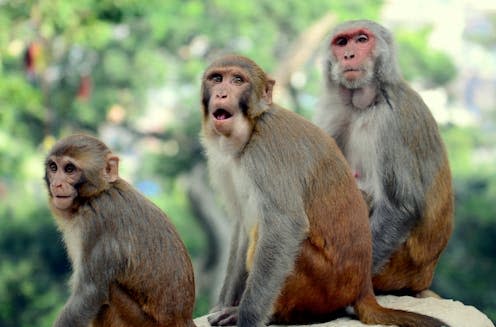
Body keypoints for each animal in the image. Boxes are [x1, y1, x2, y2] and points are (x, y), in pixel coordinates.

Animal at [43, 135, 197, 326]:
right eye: (53, 167)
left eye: (69, 169)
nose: (57, 184)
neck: (96, 194)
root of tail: (184, 319)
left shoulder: (97, 221)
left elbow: (89, 293)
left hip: (138, 321)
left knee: (109, 289)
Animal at [200, 54, 448, 327]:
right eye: (216, 78)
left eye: (237, 80)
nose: (221, 93)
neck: (251, 129)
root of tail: (363, 288)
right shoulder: (224, 164)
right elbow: (243, 227)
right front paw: (224, 304)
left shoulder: (267, 150)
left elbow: (284, 226)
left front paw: (246, 317)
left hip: (324, 284)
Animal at [316, 19, 456, 298]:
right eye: (341, 42)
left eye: (361, 40)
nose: (349, 55)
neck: (366, 104)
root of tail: (425, 278)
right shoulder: (335, 113)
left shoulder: (390, 122)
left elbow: (399, 207)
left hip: (398, 267)